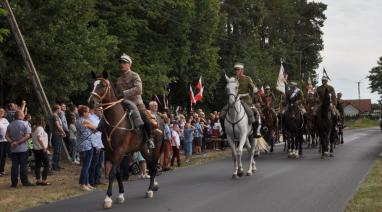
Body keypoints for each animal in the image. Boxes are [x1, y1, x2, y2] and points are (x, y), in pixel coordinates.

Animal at [88, 71, 163, 209]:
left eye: (102, 85)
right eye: (93, 85)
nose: (91, 102)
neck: (115, 119)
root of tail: (159, 118)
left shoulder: (119, 151)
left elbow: (112, 173)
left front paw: (108, 198)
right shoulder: (110, 152)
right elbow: (117, 173)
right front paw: (120, 195)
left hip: (155, 148)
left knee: (154, 165)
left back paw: (150, 190)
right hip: (143, 148)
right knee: (150, 164)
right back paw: (153, 186)